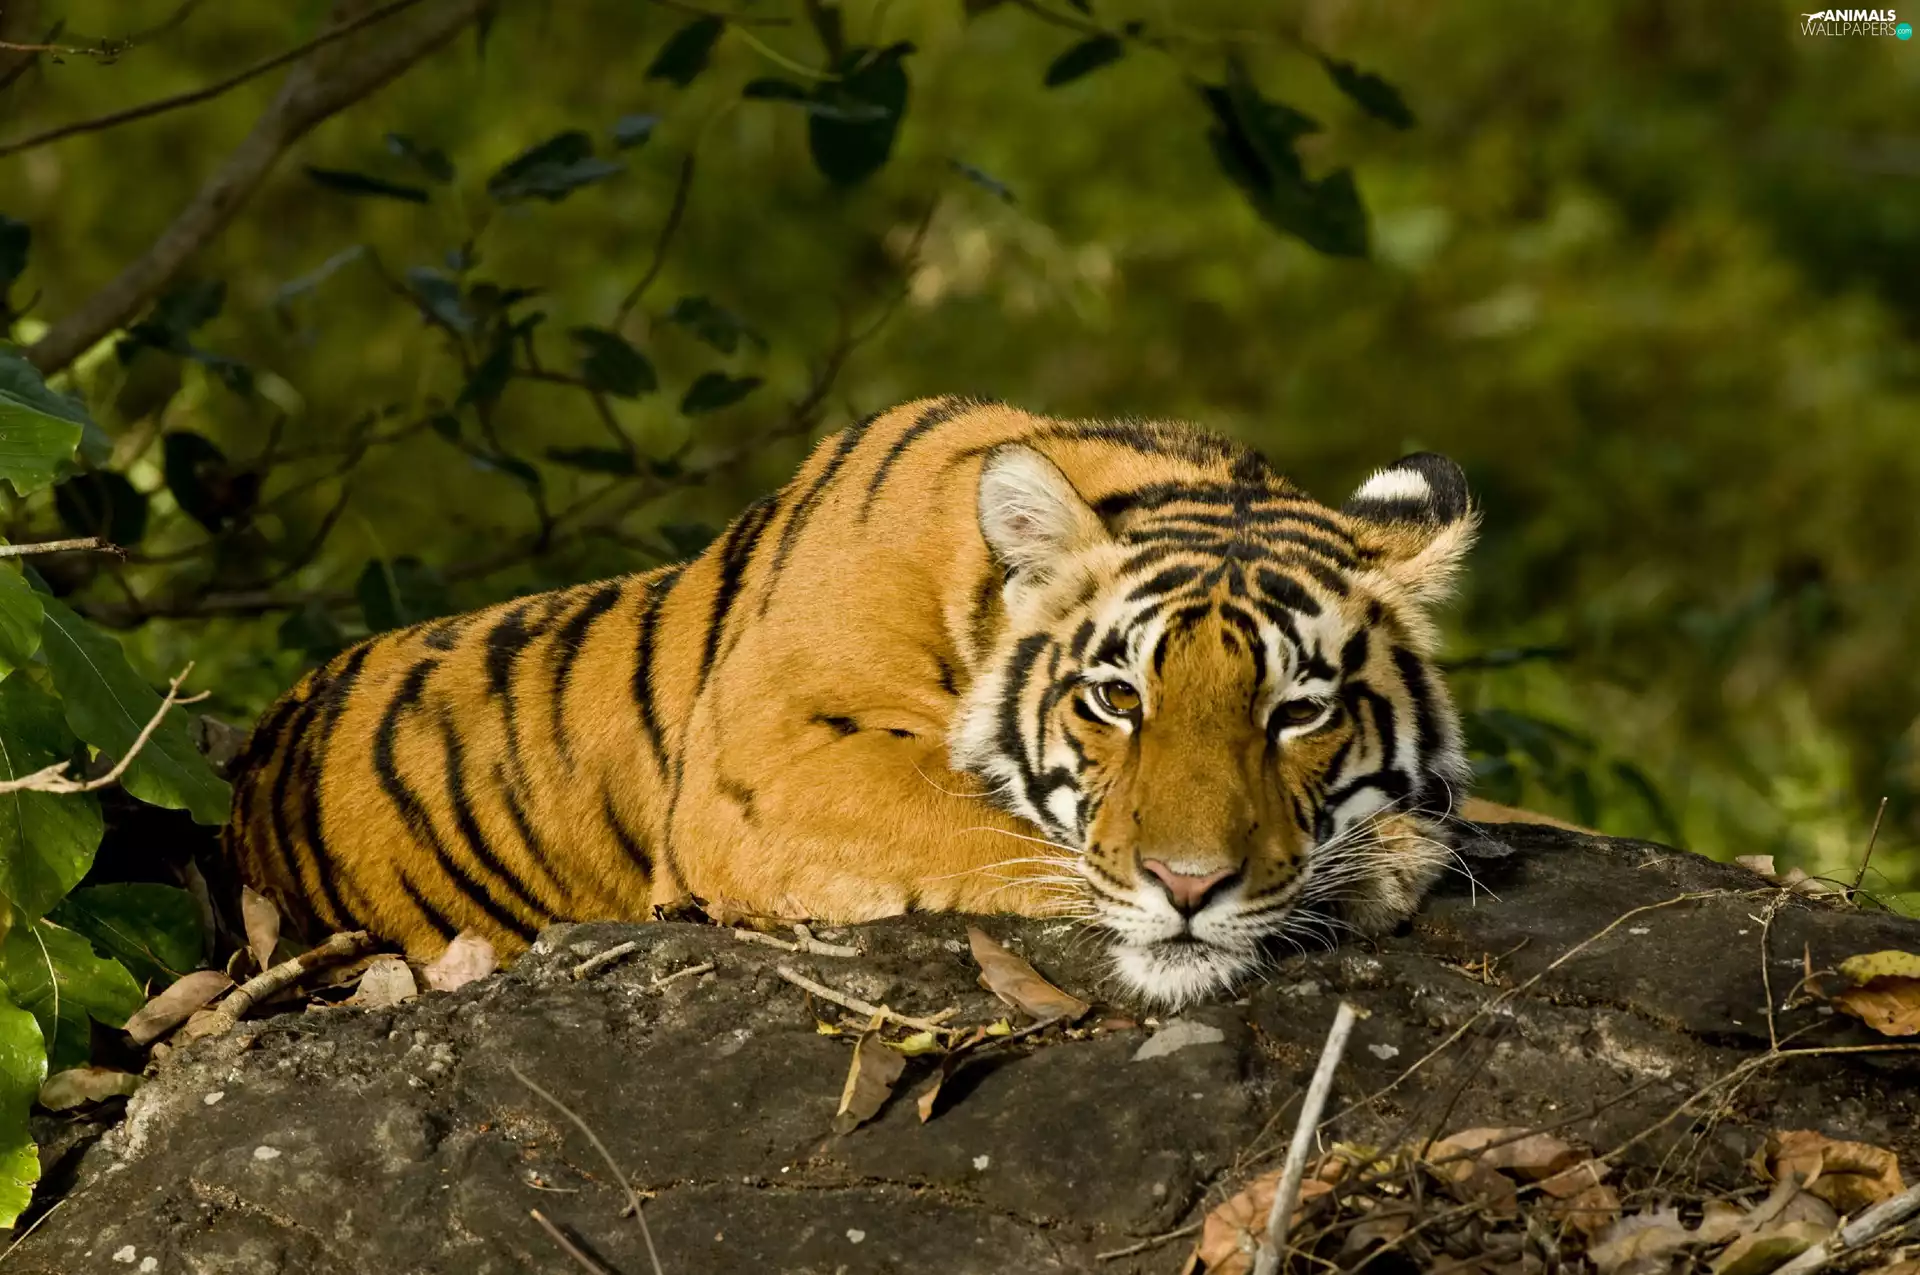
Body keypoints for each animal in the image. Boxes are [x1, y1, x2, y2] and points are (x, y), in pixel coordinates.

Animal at [227, 396, 1532, 1007]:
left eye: (1297, 713)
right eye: (1116, 699)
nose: (1190, 888)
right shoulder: (772, 768)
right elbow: (988, 826)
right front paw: (1386, 862)